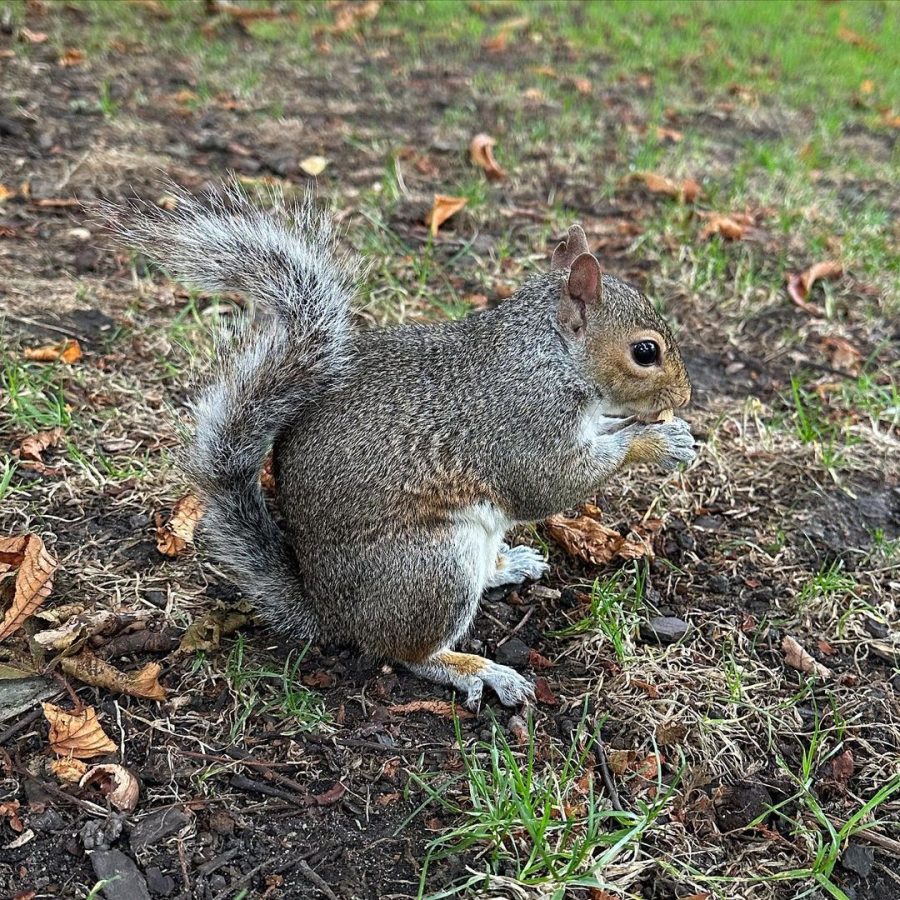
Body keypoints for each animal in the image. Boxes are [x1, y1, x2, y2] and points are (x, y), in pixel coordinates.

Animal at [114, 185, 696, 712]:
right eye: (645, 352)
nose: (685, 396)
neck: (550, 358)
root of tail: (331, 613)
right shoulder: (521, 425)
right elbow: (550, 484)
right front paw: (655, 441)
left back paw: (508, 565)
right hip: (433, 567)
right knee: (406, 652)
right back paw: (475, 670)